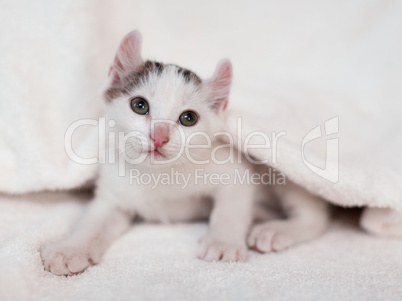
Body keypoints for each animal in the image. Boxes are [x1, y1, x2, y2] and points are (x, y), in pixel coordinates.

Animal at [40, 29, 330, 274]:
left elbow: (230, 208)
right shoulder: (113, 191)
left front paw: (223, 243)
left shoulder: (235, 171)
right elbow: (94, 222)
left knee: (316, 216)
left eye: (188, 118)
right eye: (139, 105)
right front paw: (70, 249)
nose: (159, 137)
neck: (161, 175)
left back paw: (276, 231)